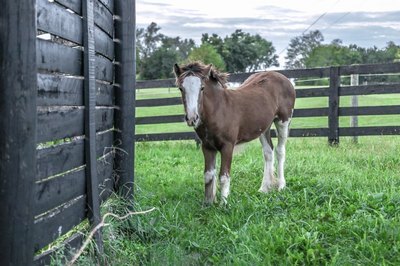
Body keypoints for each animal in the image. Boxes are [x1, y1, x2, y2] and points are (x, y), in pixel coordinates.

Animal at [173, 62, 296, 204]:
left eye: (202, 88)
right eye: (181, 88)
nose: (192, 118)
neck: (219, 110)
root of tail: (283, 78)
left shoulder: (227, 146)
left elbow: (224, 176)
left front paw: (223, 203)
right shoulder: (207, 146)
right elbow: (208, 175)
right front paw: (208, 203)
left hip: (283, 121)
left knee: (280, 150)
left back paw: (281, 186)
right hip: (263, 127)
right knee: (268, 152)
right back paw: (264, 189)